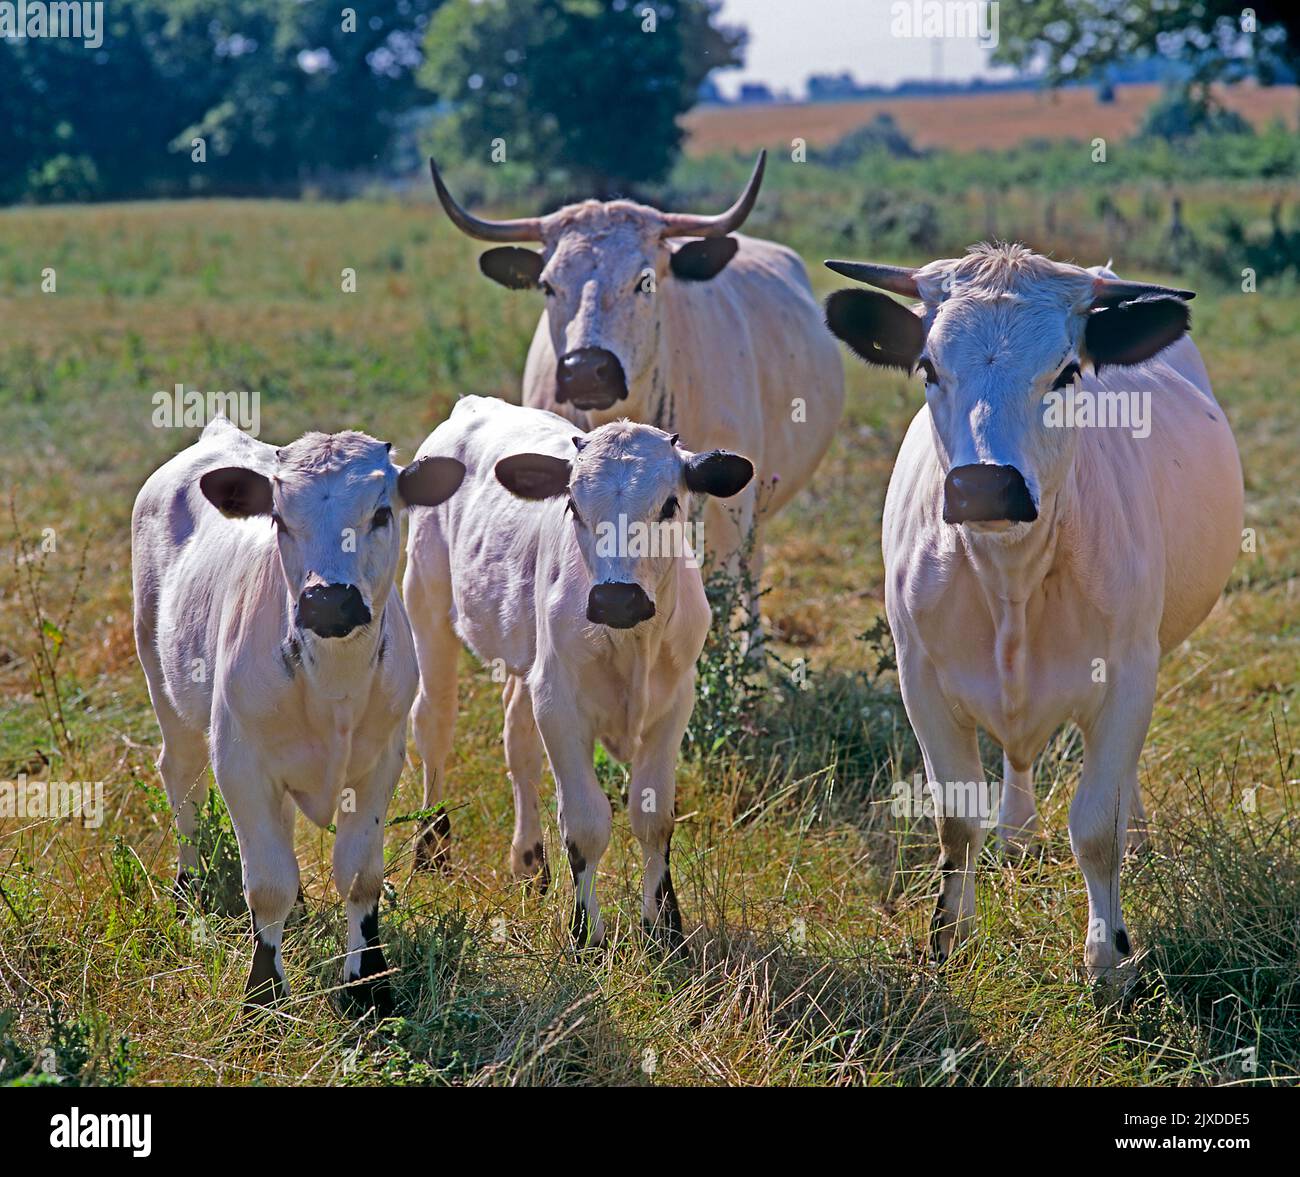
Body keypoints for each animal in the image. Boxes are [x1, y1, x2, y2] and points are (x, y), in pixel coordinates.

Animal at [129, 418, 465, 1004]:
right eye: (280, 518)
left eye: (381, 513)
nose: (328, 599)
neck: (332, 683)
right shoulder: (240, 761)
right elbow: (267, 884)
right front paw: (263, 991)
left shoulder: (380, 762)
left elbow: (359, 874)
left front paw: (368, 983)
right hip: (164, 683)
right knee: (182, 778)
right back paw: (188, 892)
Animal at [403, 395, 754, 946]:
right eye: (572, 505)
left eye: (669, 506)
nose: (617, 598)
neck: (634, 642)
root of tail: (474, 405)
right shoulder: (561, 704)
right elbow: (587, 822)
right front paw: (586, 932)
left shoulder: (673, 704)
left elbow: (653, 816)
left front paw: (664, 927)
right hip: (426, 604)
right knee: (434, 724)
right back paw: (431, 849)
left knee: (518, 742)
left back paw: (529, 863)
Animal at [826, 243, 1242, 988]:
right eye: (928, 367)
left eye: (1067, 371)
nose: (984, 485)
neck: (1011, 580)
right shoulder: (920, 678)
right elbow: (956, 819)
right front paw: (947, 939)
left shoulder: (1129, 676)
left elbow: (1098, 826)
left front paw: (1108, 958)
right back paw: (1017, 832)